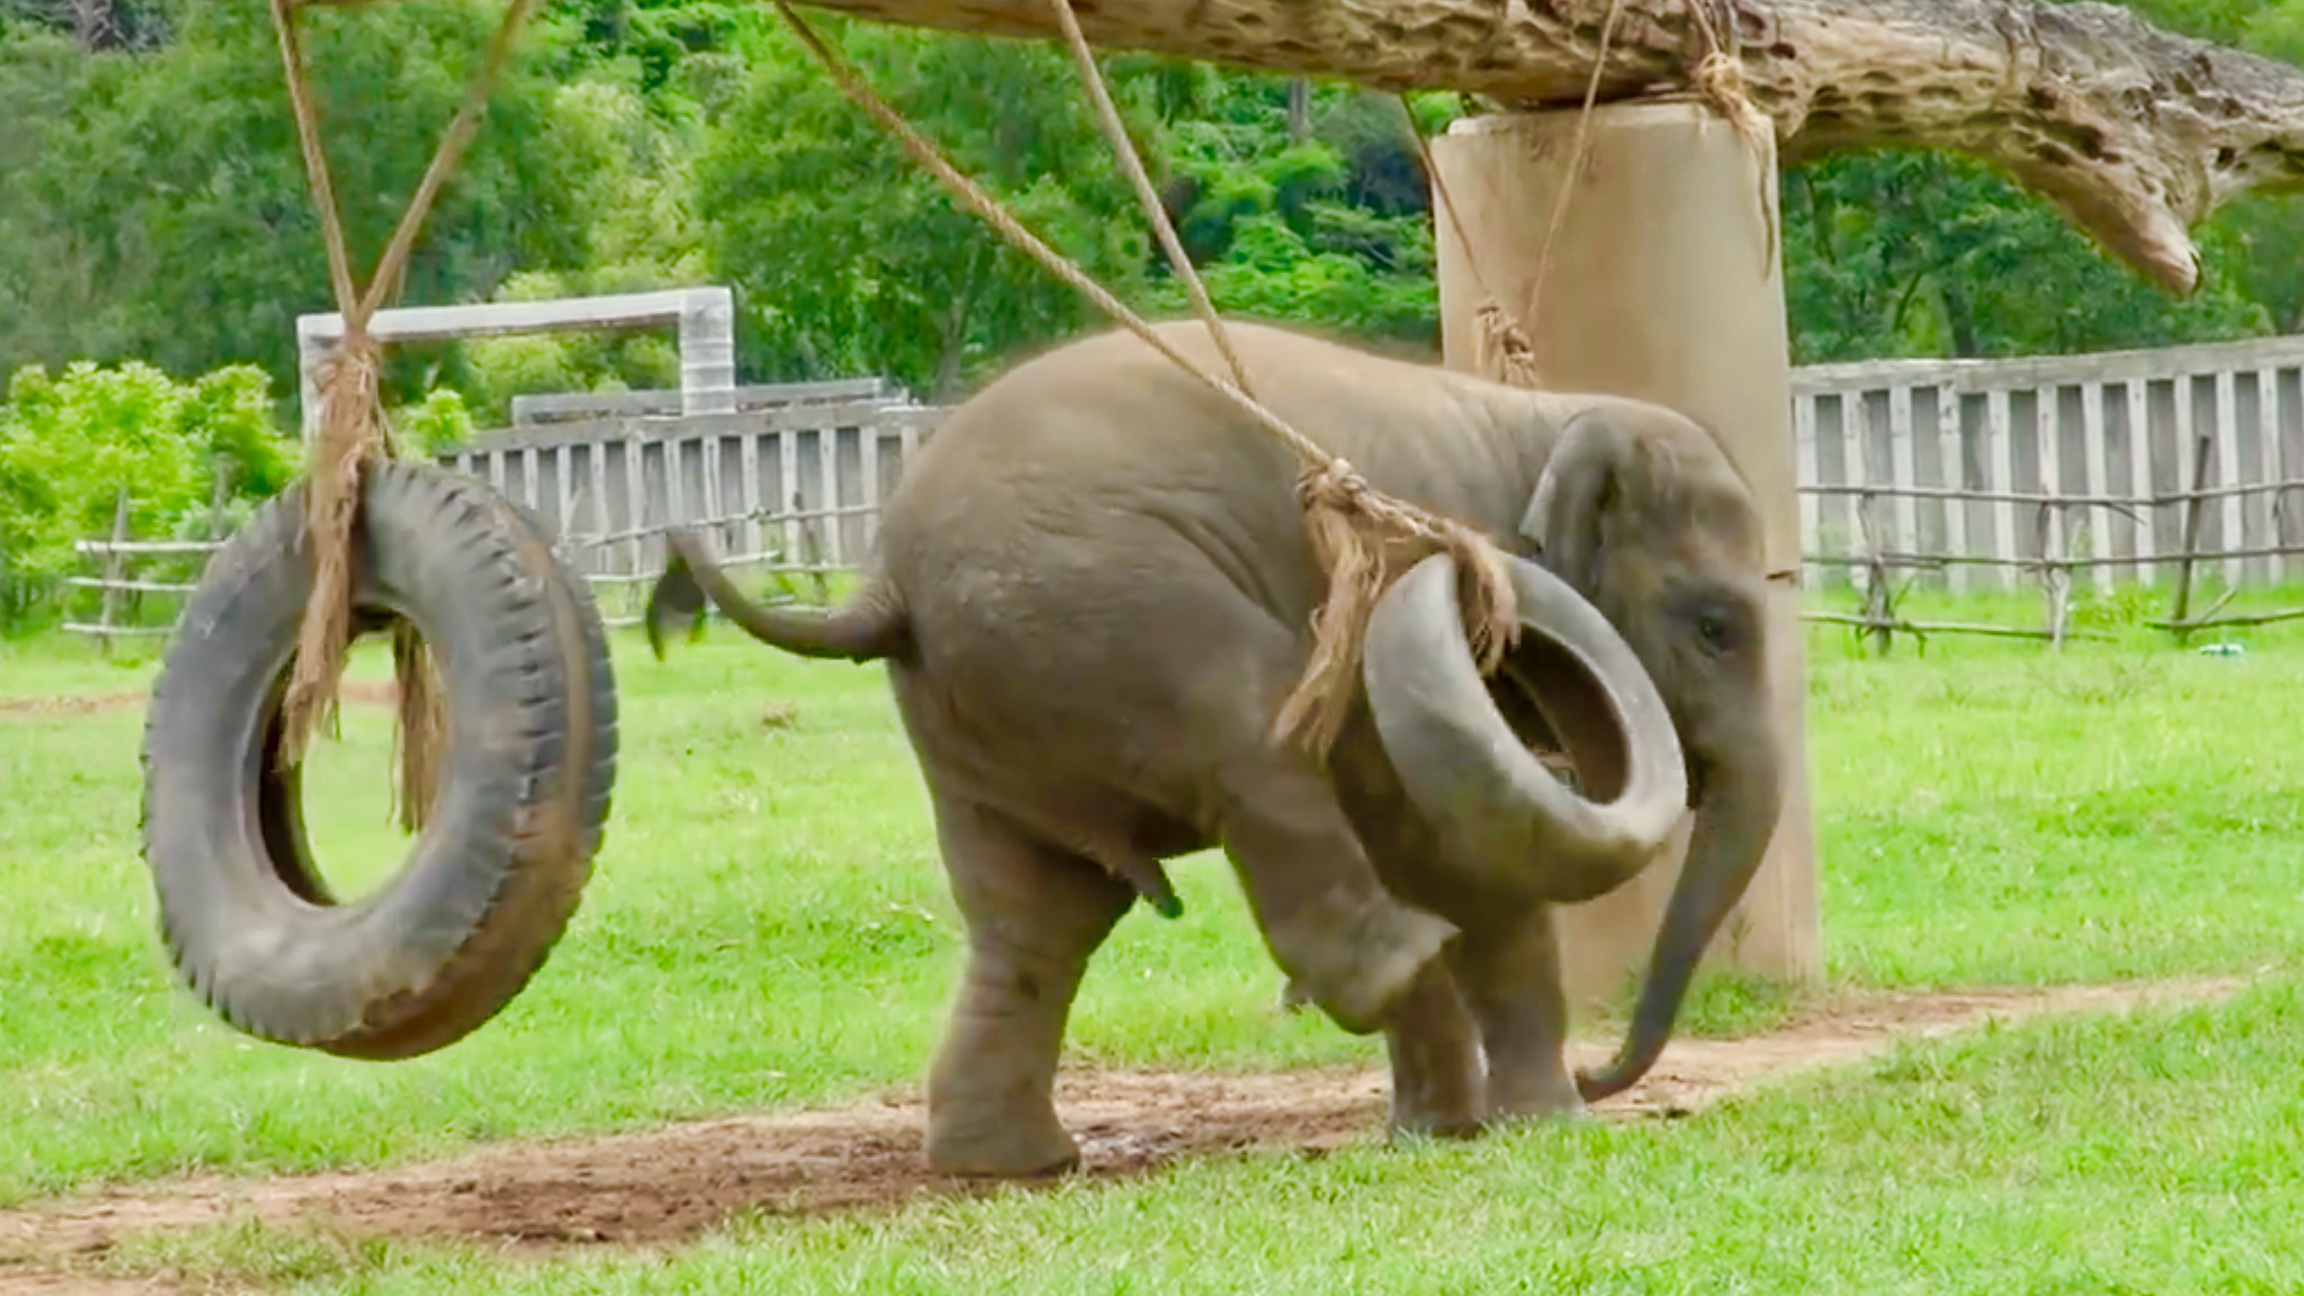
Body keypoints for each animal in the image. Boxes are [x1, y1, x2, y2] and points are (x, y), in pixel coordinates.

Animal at [644, 319, 1783, 1178]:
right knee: (1262, 777)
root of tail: (885, 590)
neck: (1539, 421)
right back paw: (1401, 986)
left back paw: (1011, 1163)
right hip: (1124, 624)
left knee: (1036, 920)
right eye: (1716, 628)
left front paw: (1482, 1126)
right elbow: (1455, 850)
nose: (1604, 1074)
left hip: (986, 718)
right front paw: (1544, 1124)